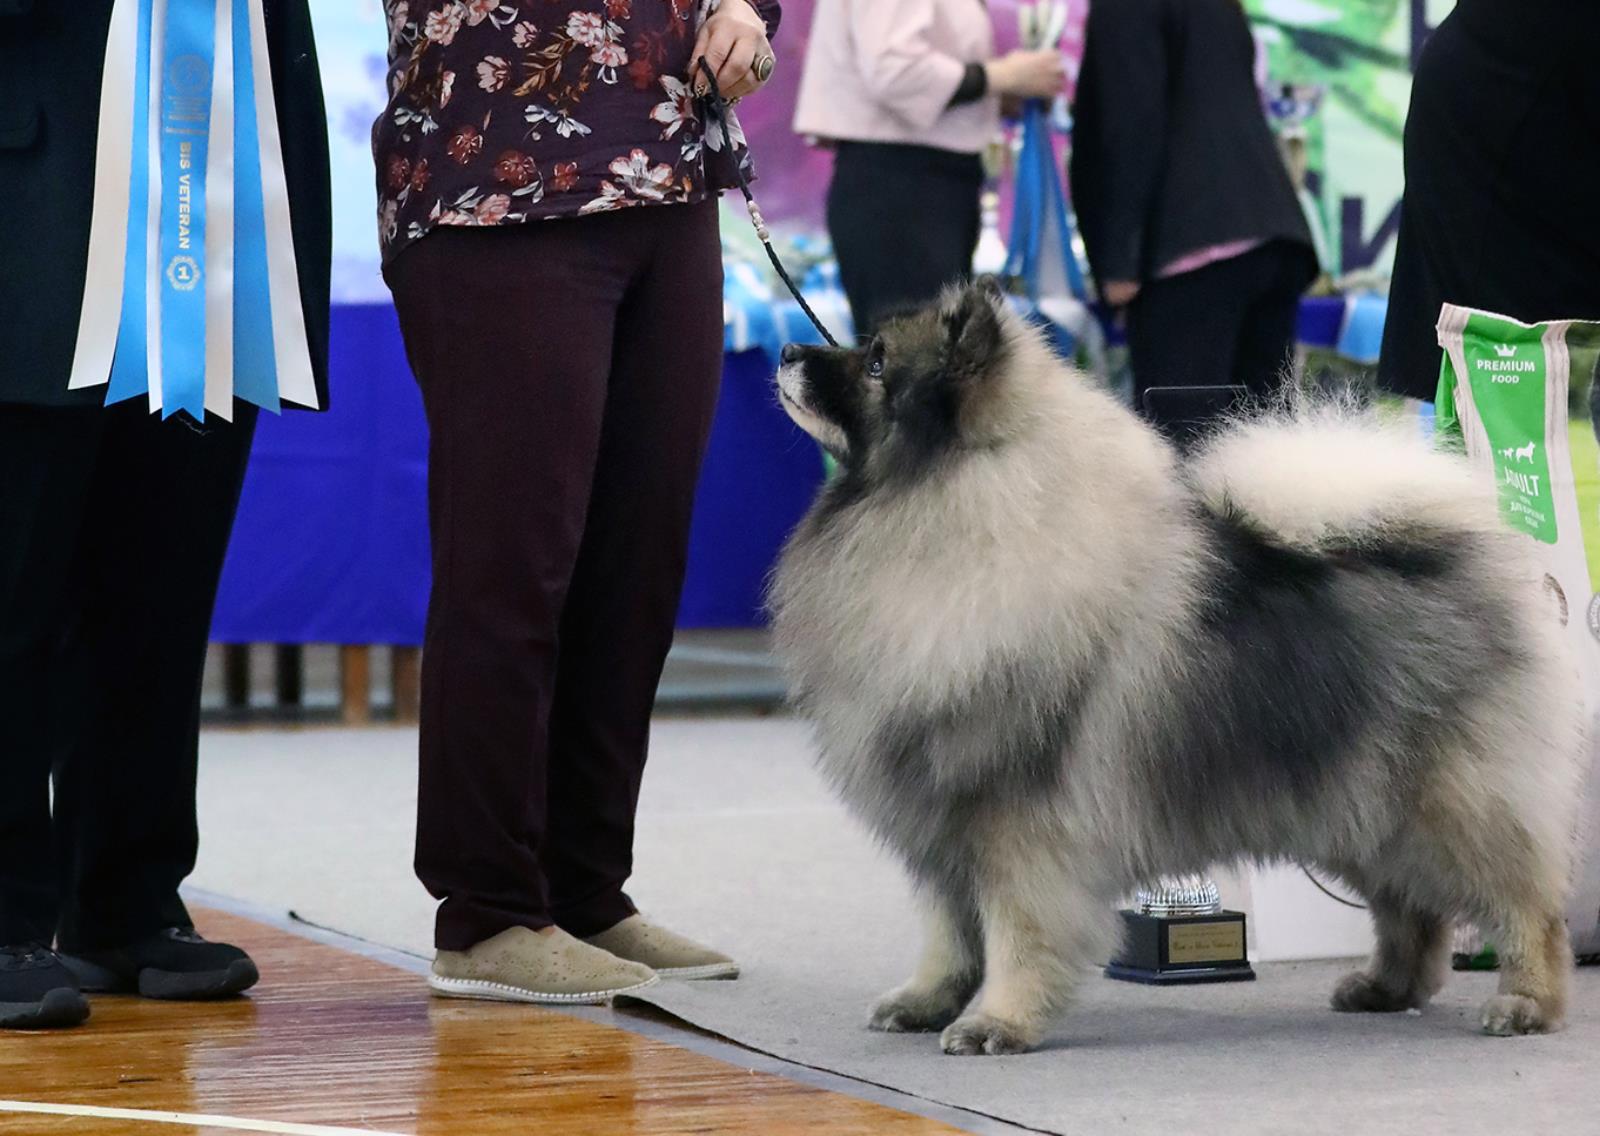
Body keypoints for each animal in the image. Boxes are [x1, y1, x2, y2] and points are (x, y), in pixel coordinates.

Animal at [771, 283, 1587, 1056]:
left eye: (878, 362)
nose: (786, 350)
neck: (952, 511)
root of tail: (1464, 556)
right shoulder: (940, 825)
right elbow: (948, 932)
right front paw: (926, 1001)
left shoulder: (1019, 828)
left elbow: (1016, 934)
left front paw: (996, 1023)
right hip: (1362, 810)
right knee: (1409, 910)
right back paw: (1385, 989)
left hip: (1449, 806)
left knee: (1527, 905)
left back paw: (1526, 1005)